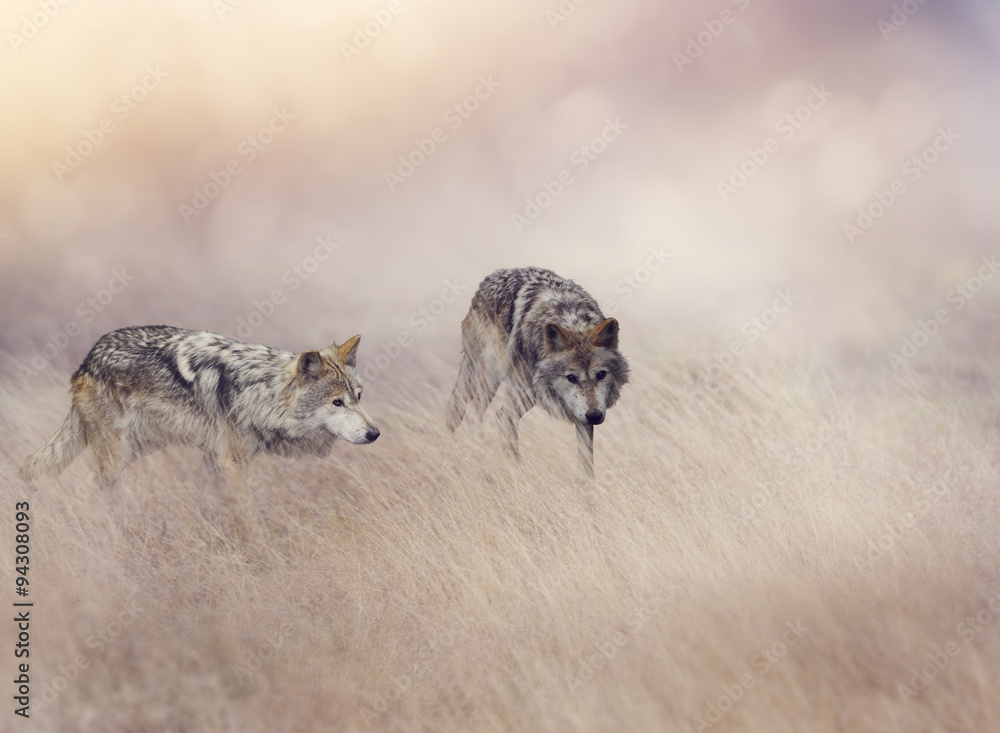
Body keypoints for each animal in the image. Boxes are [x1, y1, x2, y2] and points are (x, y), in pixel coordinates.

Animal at [19, 326, 379, 488]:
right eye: (337, 402)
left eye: (359, 397)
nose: (375, 434)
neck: (260, 392)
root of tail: (88, 359)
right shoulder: (232, 464)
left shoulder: (214, 461)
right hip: (117, 455)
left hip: (137, 448)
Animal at [446, 267, 629, 476]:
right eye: (571, 378)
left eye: (600, 375)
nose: (595, 416)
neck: (569, 319)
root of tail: (488, 280)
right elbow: (509, 436)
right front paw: (516, 471)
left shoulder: (582, 414)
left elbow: (586, 459)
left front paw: (587, 484)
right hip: (496, 380)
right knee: (475, 413)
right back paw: (480, 453)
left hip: (528, 396)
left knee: (493, 414)